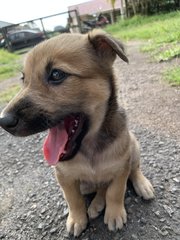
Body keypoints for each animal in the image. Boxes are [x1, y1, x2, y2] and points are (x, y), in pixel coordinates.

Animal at [0, 29, 155, 236]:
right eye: (24, 79)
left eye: (56, 74)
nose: (3, 121)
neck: (89, 147)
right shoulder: (64, 176)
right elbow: (73, 199)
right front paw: (77, 219)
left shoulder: (121, 167)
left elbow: (115, 191)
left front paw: (114, 213)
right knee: (99, 187)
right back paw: (96, 203)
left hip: (133, 145)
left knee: (134, 169)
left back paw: (141, 185)